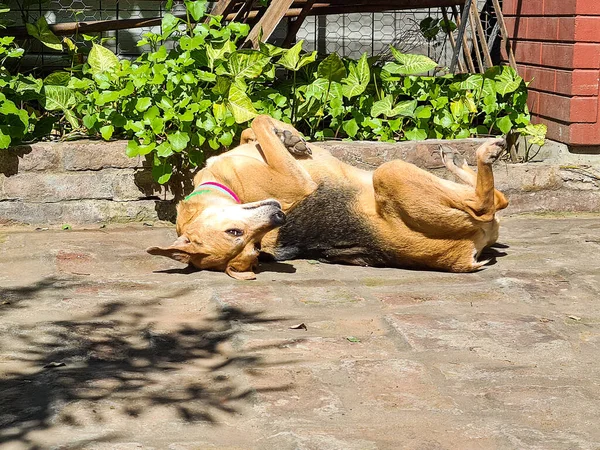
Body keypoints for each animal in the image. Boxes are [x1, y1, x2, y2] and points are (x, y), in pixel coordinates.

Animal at [148, 114, 508, 280]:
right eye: (238, 236)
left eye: (254, 246)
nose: (280, 216)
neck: (222, 183)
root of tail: (462, 259)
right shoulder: (297, 183)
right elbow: (258, 120)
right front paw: (285, 135)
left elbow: (252, 129)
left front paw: (290, 136)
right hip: (391, 172)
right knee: (487, 203)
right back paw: (484, 153)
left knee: (497, 199)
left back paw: (456, 158)